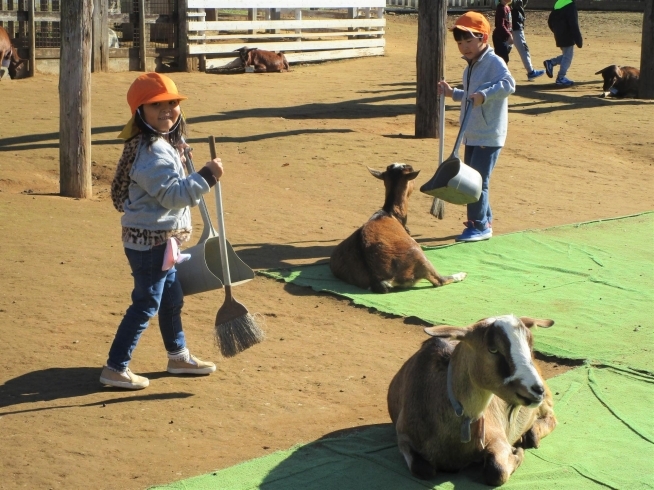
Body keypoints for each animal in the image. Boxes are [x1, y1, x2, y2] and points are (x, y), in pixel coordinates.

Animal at [390, 316, 560, 484]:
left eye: (530, 347)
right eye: (493, 349)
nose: (537, 390)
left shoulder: (496, 436)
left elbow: (496, 470)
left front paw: (517, 452)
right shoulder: (403, 438)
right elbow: (422, 469)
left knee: (551, 417)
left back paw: (532, 434)